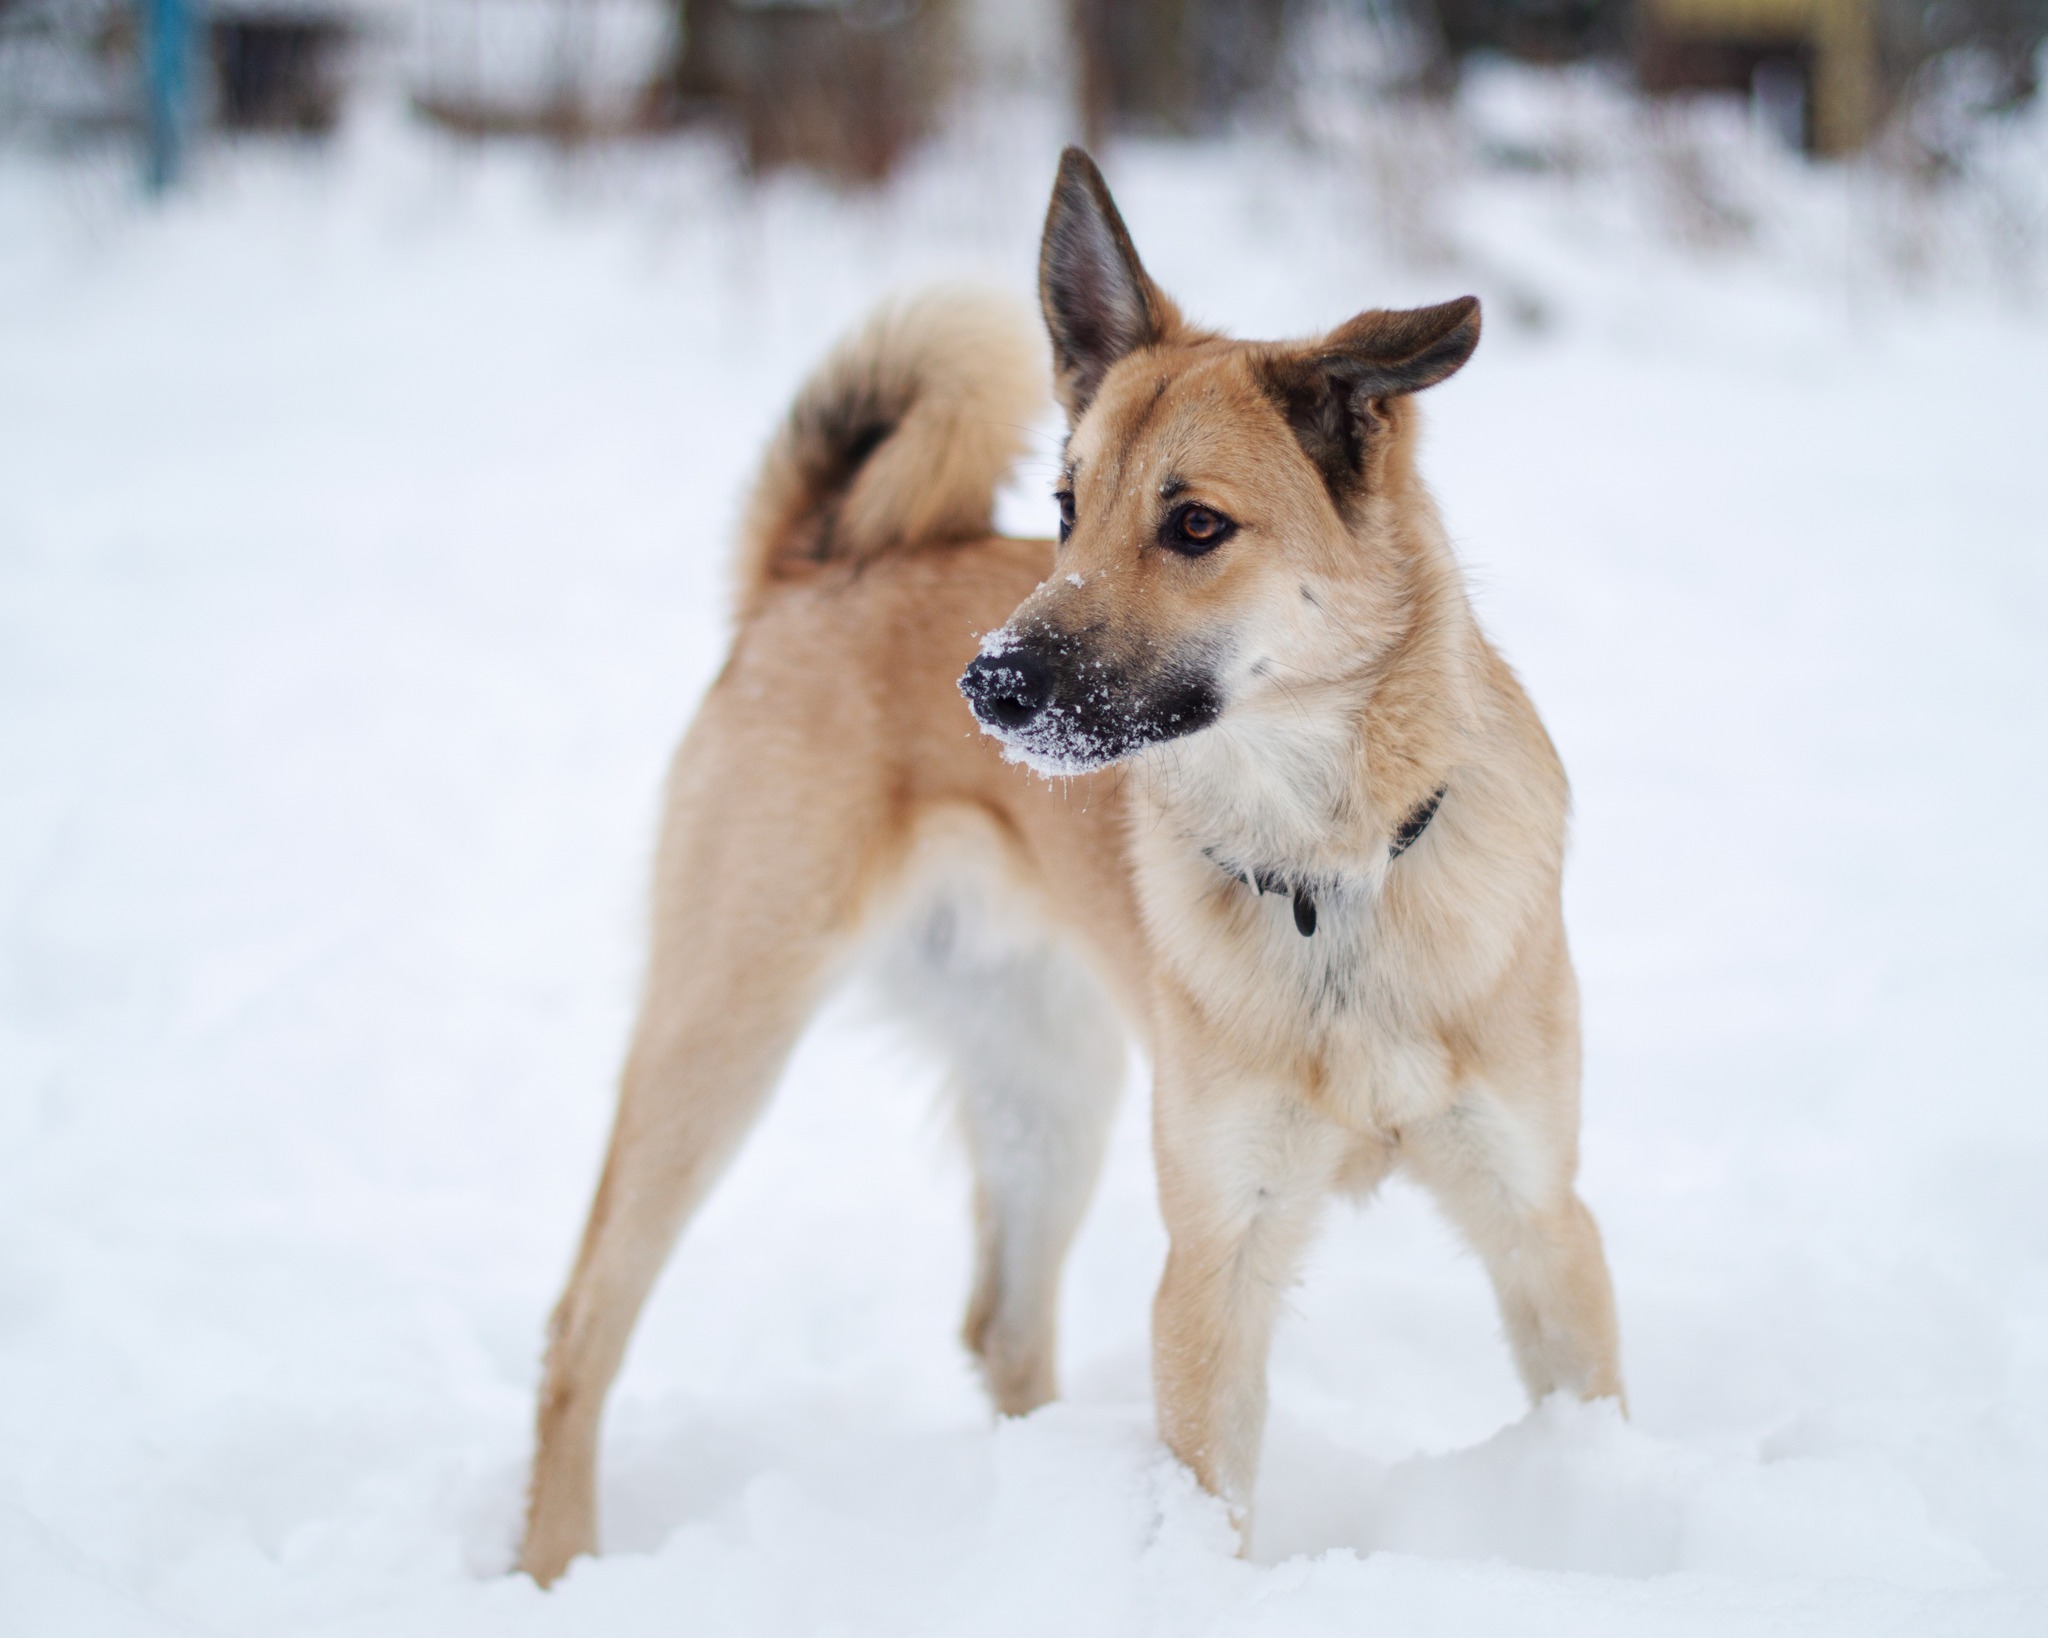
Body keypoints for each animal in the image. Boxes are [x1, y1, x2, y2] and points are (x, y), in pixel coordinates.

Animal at [520, 150, 1622, 1588]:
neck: (1328, 869)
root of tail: (818, 567)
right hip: (722, 1033)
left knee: (999, 1324)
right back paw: (552, 1566)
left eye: (1195, 524)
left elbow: (1586, 1422)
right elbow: (1212, 1497)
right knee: (583, 1321)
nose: (985, 686)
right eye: (1062, 508)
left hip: (1049, 1089)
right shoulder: (1215, 1251)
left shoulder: (1542, 1219)